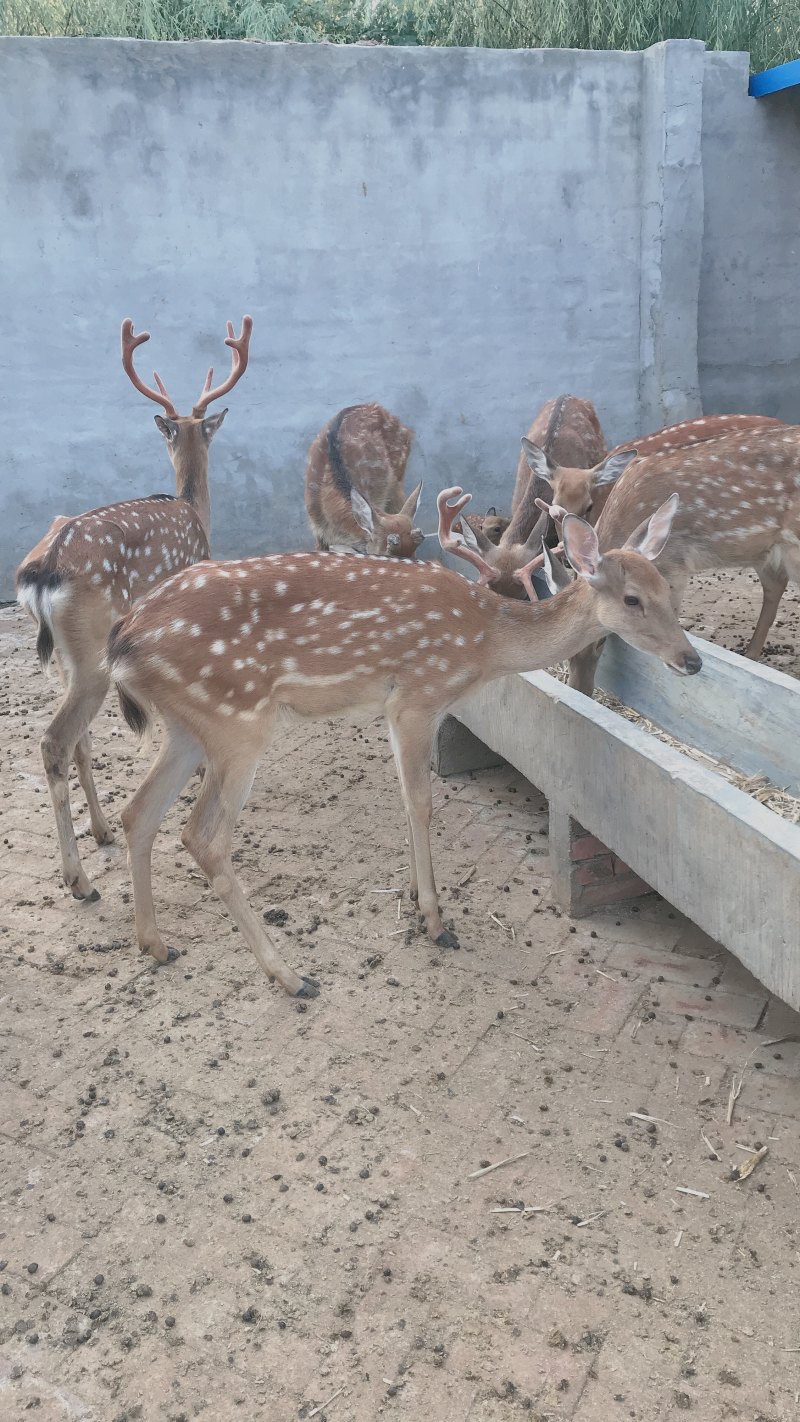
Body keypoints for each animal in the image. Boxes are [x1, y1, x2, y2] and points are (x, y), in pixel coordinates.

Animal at [15, 315, 252, 903]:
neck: (195, 511)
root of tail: (43, 570)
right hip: (91, 652)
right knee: (55, 739)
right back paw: (78, 881)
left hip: (64, 653)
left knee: (77, 739)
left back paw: (99, 832)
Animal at [105, 486, 700, 999]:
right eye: (632, 599)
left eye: (669, 590)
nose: (690, 659)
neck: (483, 644)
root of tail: (123, 640)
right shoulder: (418, 696)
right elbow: (421, 803)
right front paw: (435, 920)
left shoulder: (400, 709)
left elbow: (404, 798)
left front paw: (416, 897)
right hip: (237, 721)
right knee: (202, 837)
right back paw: (291, 977)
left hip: (187, 727)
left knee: (138, 812)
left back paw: (156, 944)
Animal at [558, 423, 800, 695]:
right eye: (565, 653)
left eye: (601, 642)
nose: (580, 689)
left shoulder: (674, 563)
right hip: (768, 551)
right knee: (775, 586)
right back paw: (750, 653)